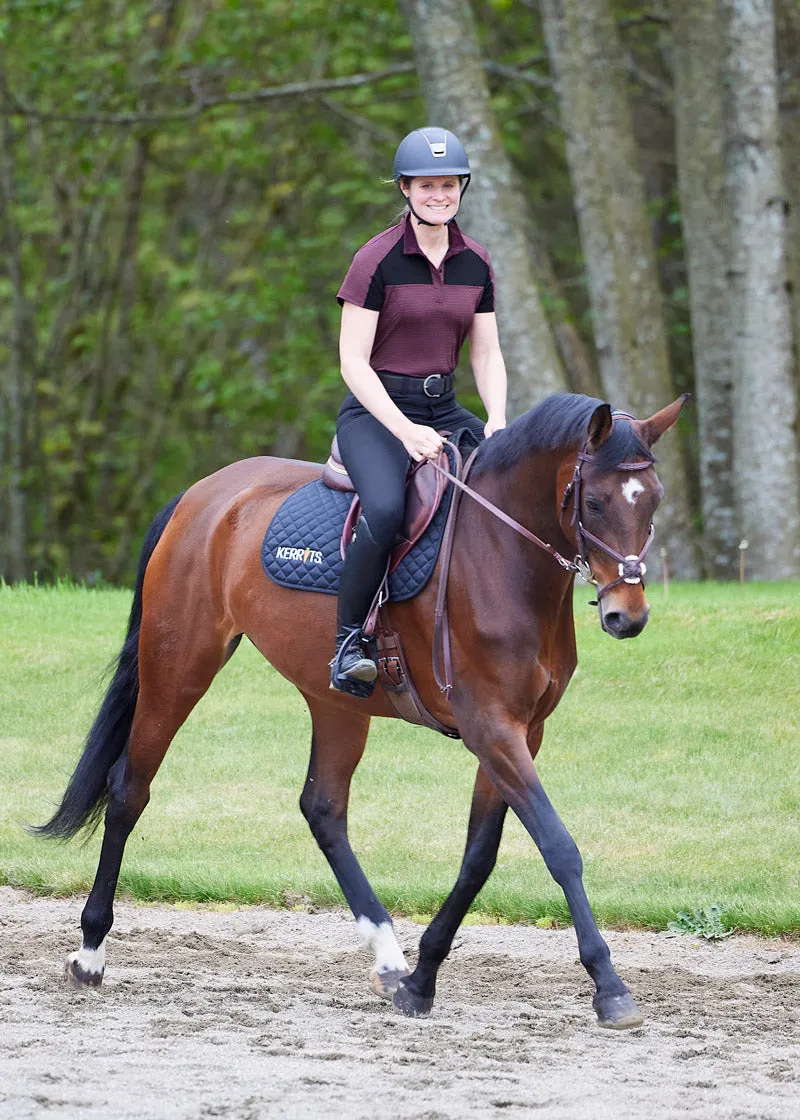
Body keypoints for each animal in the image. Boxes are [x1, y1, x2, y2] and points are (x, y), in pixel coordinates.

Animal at [35, 394, 685, 1030]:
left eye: (654, 499)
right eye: (594, 501)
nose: (627, 615)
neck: (503, 555)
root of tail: (203, 494)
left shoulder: (522, 733)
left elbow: (478, 858)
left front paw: (422, 980)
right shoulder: (491, 728)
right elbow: (559, 847)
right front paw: (609, 985)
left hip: (334, 702)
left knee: (323, 809)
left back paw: (390, 958)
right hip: (178, 670)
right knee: (129, 789)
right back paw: (90, 952)